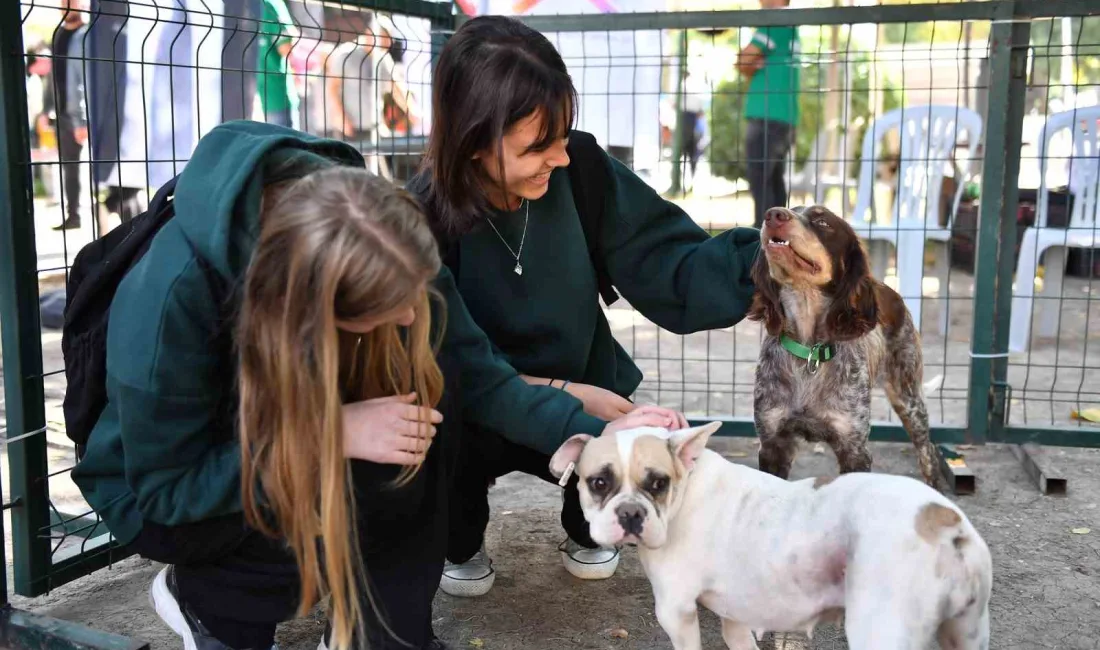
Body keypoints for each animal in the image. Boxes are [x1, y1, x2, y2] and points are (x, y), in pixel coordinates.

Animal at [748, 205, 937, 486]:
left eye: (823, 222)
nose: (773, 215)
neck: (809, 353)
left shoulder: (854, 448)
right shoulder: (773, 443)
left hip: (909, 398)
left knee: (928, 453)